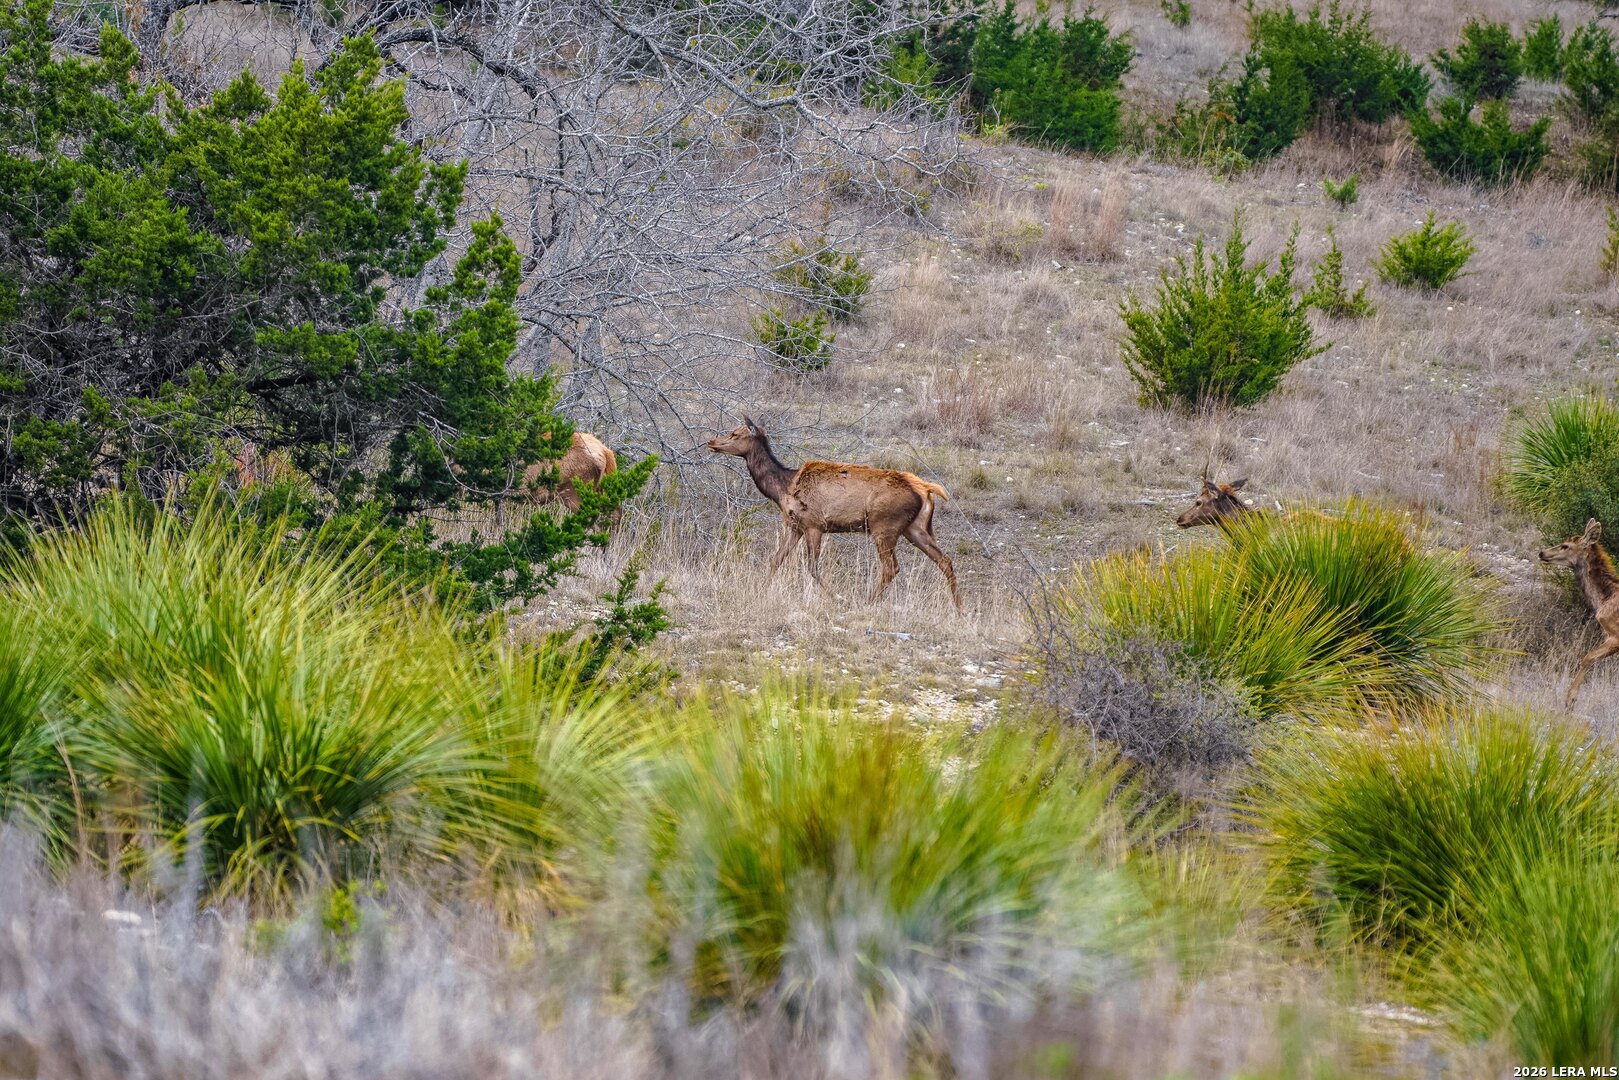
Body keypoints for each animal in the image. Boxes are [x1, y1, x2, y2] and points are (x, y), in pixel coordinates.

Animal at [707, 417, 962, 611]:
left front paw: (838, 597)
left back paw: (867, 601)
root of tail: (925, 489)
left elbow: (812, 568)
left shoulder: (814, 525)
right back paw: (960, 608)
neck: (782, 490)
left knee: (892, 568)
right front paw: (761, 588)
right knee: (945, 560)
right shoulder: (795, 526)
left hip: (884, 526)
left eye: (735, 433)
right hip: (916, 528)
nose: (711, 442)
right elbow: (776, 560)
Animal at [1538, 518, 1619, 707]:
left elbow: (1587, 657)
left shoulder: (1614, 634)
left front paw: (1570, 699)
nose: (1542, 552)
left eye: (1565, 546)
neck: (1603, 599)